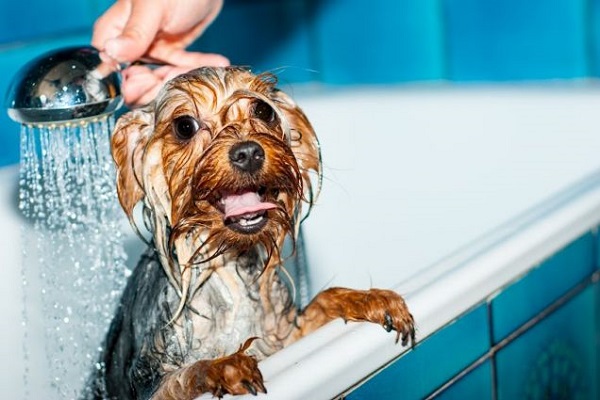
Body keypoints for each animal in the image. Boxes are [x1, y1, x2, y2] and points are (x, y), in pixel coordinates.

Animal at [91, 67, 414, 398]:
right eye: (184, 126)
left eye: (263, 110)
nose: (247, 152)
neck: (228, 267)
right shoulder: (151, 383)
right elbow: (188, 373)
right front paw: (223, 366)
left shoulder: (282, 339)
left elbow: (322, 300)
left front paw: (369, 299)